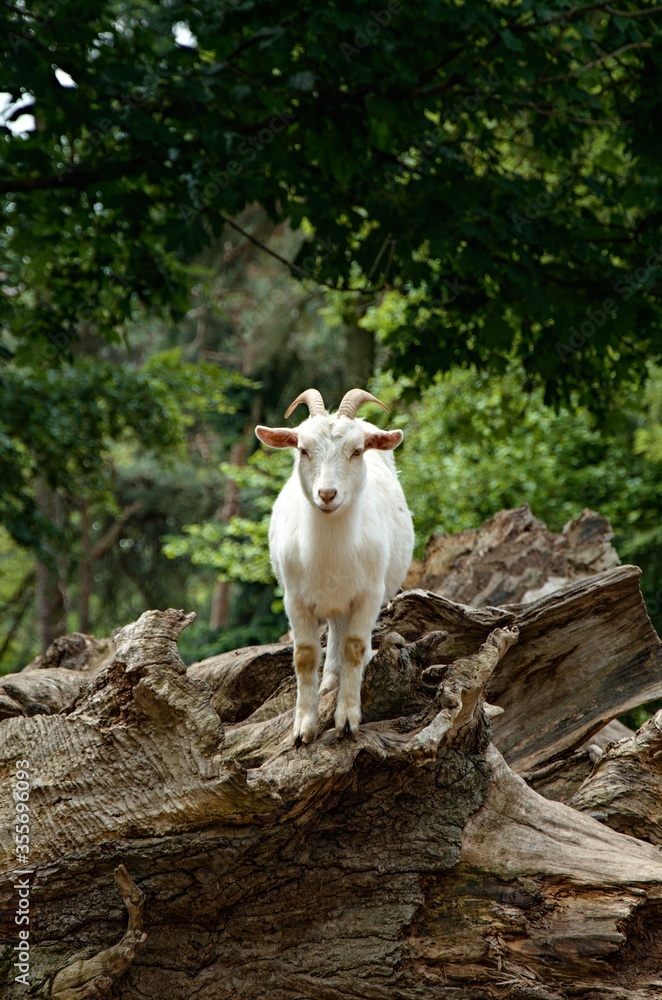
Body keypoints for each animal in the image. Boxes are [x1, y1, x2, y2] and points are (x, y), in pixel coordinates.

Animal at [255, 387, 414, 744]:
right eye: (302, 449)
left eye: (356, 451)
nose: (327, 494)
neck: (329, 555)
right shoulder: (295, 599)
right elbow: (304, 655)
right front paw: (303, 728)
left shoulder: (369, 594)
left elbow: (353, 648)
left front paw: (346, 721)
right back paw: (329, 682)